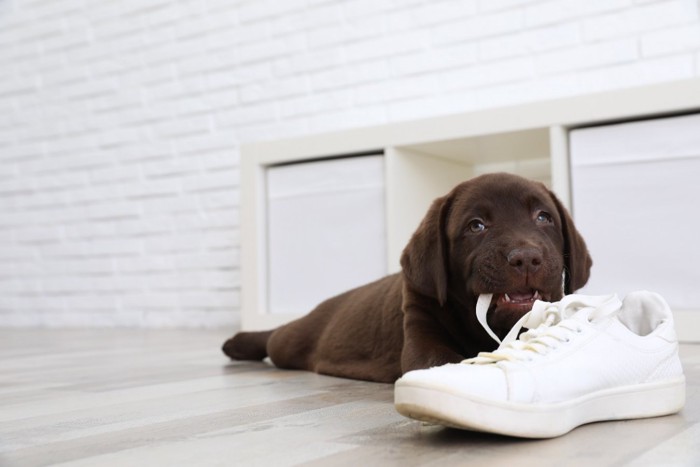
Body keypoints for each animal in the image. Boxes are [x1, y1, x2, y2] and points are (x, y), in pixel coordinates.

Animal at [223, 174, 592, 382]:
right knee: (276, 337)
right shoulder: (420, 331)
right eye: (476, 226)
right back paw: (237, 343)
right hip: (293, 341)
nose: (526, 257)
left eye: (543, 217)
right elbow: (443, 363)